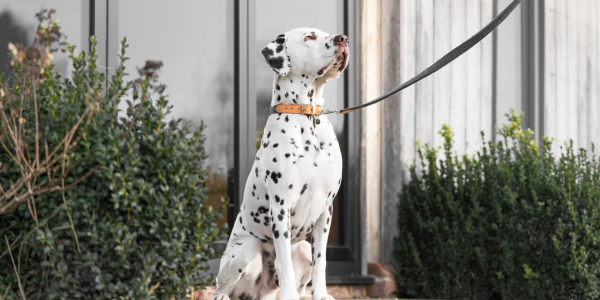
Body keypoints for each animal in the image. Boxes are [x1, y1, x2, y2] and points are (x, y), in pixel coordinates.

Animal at [212, 27, 350, 298]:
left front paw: (320, 294)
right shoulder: (281, 207)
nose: (344, 39)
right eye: (309, 37)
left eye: (326, 33)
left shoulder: (326, 211)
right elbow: (284, 262)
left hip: (303, 247)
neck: (308, 118)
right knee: (221, 286)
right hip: (246, 247)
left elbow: (321, 263)